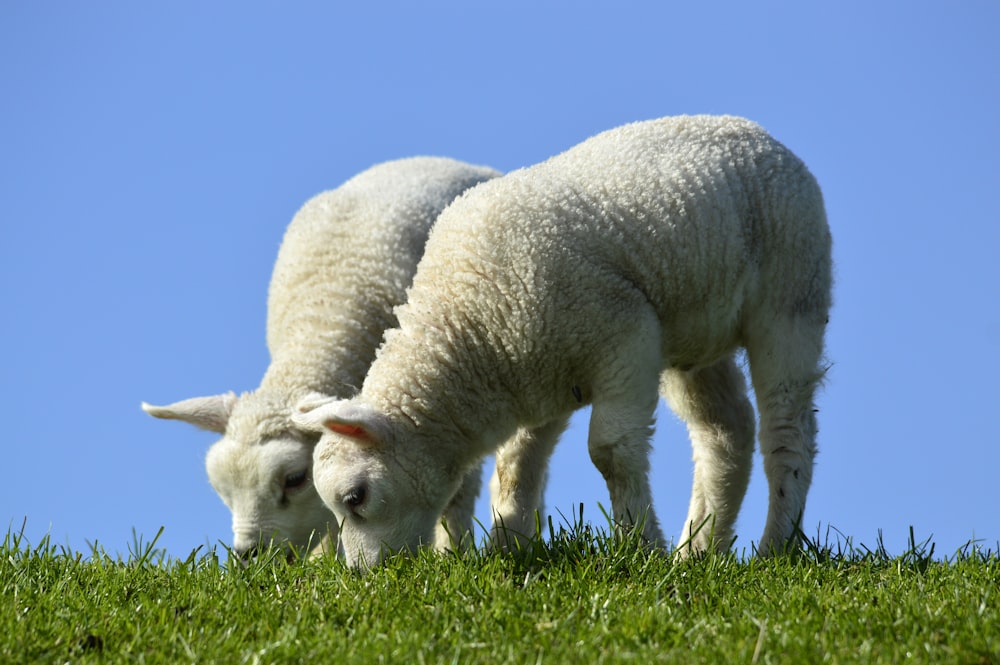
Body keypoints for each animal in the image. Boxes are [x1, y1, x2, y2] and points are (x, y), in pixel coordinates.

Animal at [296, 114, 836, 564]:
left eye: (355, 498)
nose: (365, 576)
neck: (471, 322)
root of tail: (756, 132)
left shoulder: (626, 337)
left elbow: (611, 452)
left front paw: (639, 547)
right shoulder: (539, 376)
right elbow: (516, 466)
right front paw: (508, 548)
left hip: (792, 291)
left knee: (787, 430)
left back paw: (774, 547)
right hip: (696, 333)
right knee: (726, 432)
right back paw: (699, 550)